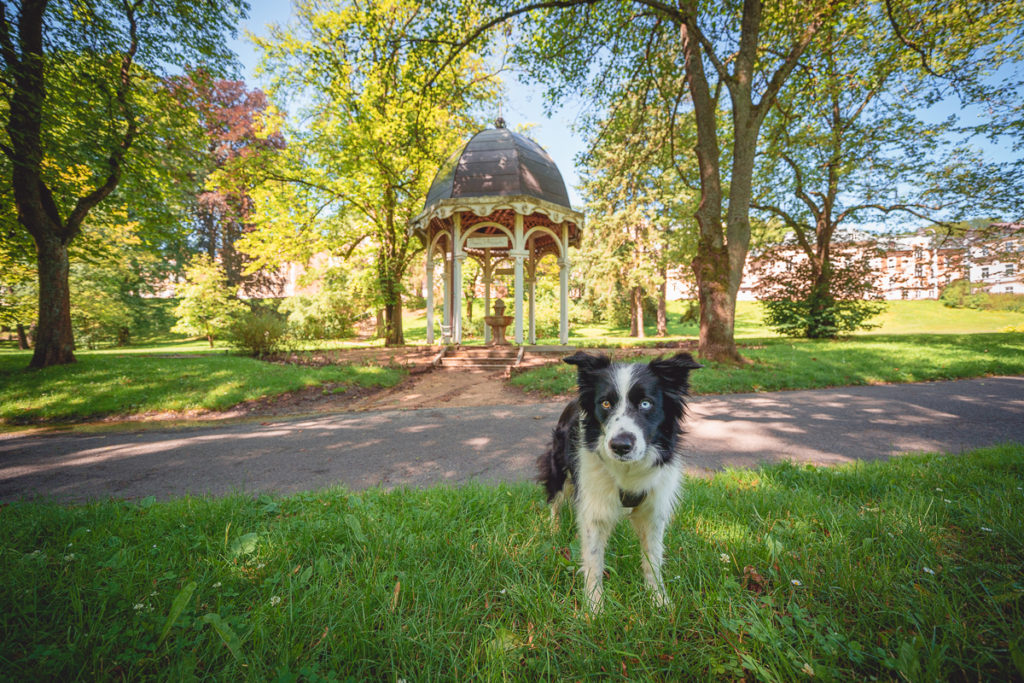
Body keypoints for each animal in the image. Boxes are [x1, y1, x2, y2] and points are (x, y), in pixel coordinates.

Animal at [536, 352, 704, 610]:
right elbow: (594, 560)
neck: (628, 470)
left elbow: (653, 558)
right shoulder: (593, 505)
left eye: (646, 403)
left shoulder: (653, 510)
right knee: (554, 499)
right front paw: (594, 609)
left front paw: (659, 600)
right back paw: (553, 528)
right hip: (559, 468)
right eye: (605, 403)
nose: (621, 446)